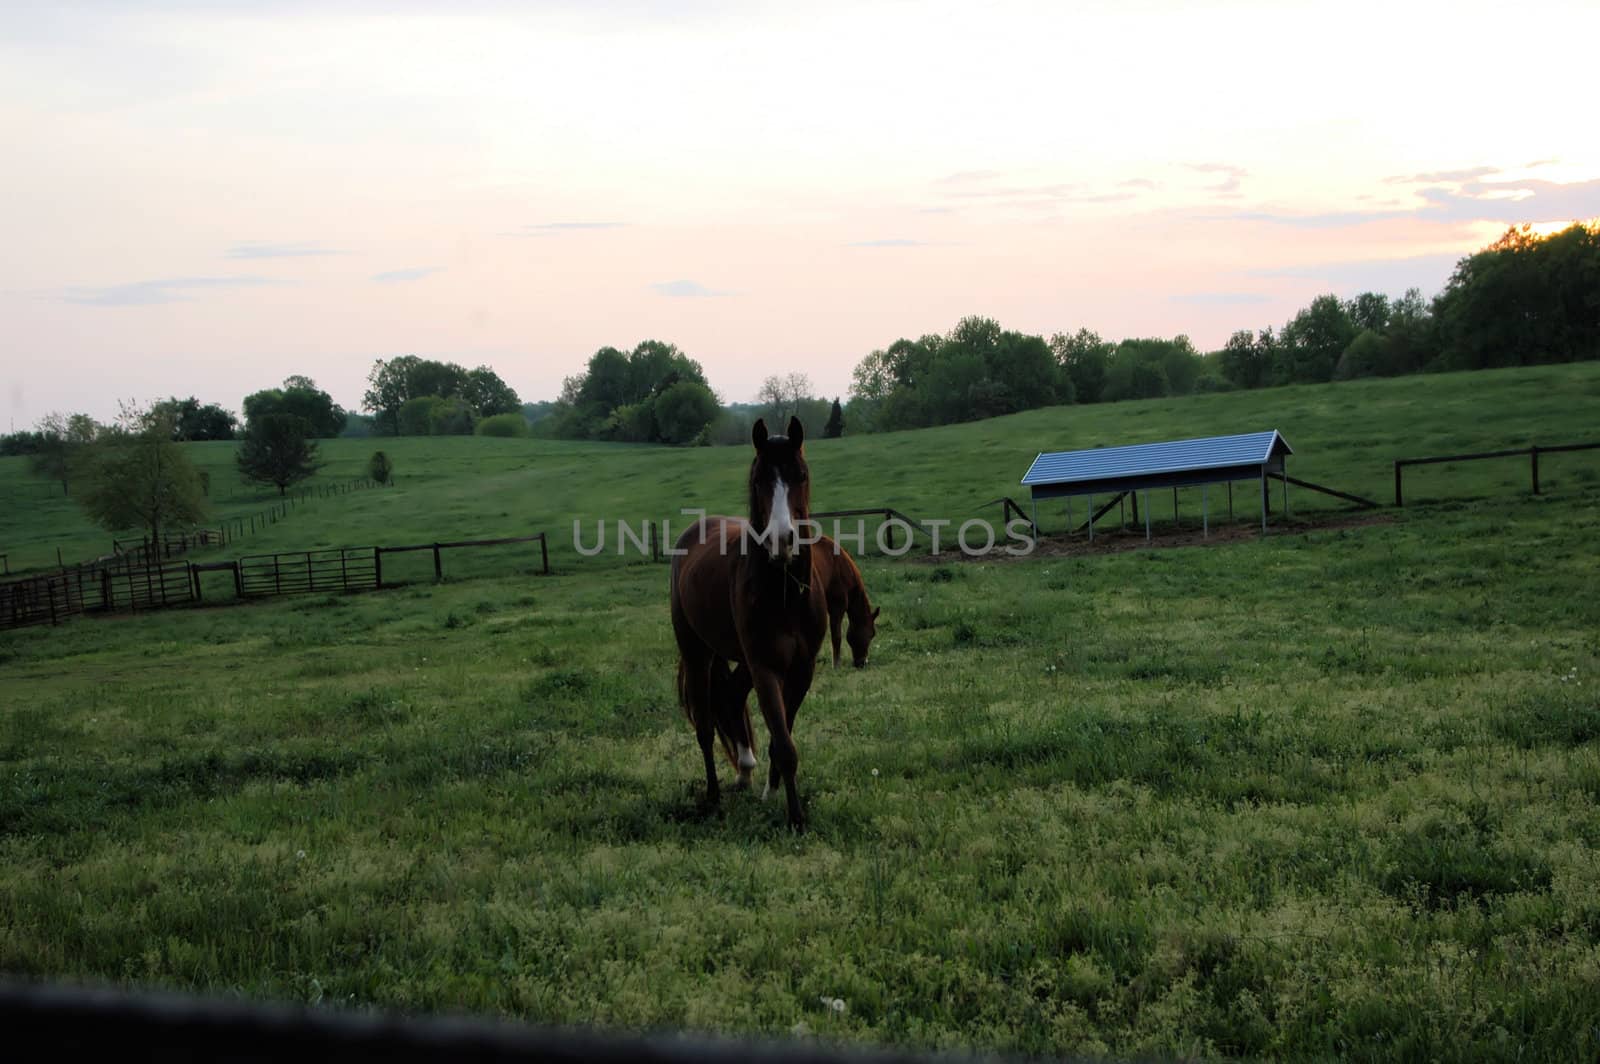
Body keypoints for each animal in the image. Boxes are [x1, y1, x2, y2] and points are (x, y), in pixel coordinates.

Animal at [672, 416, 832, 832]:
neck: (785, 592)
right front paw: (796, 819)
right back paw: (713, 796)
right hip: (697, 654)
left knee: (730, 697)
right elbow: (785, 743)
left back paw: (745, 769)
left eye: (800, 475)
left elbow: (781, 738)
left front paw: (772, 793)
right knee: (705, 726)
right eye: (759, 479)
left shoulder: (802, 670)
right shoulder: (766, 669)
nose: (782, 540)